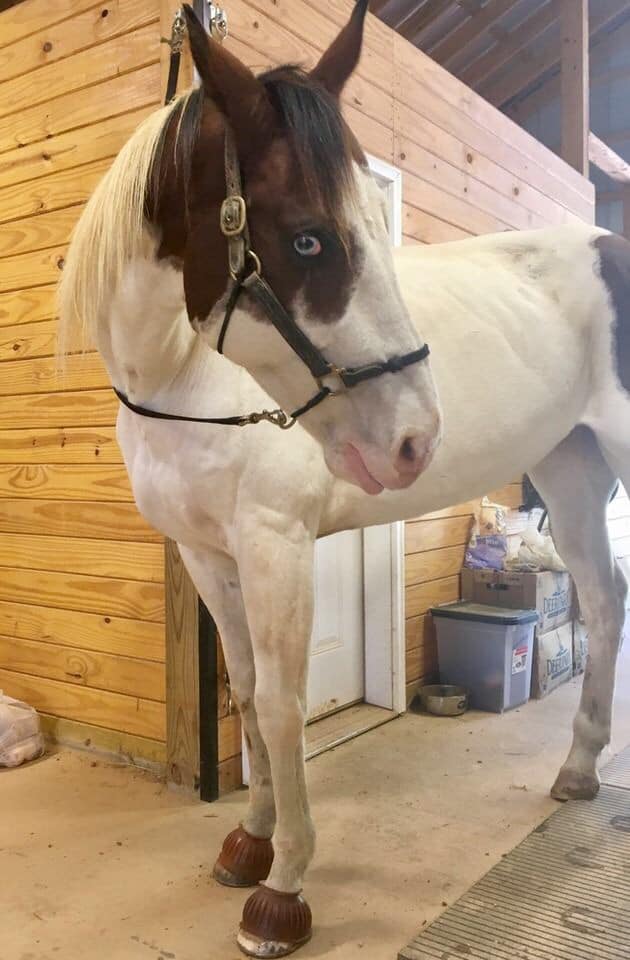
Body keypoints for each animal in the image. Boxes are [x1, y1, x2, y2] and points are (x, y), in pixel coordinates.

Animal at [58, 3, 630, 957]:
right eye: (307, 235)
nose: (413, 440)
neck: (184, 379)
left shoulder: (276, 545)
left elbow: (283, 706)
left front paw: (283, 889)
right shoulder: (209, 556)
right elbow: (246, 692)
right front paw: (248, 844)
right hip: (570, 463)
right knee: (604, 592)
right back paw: (579, 770)